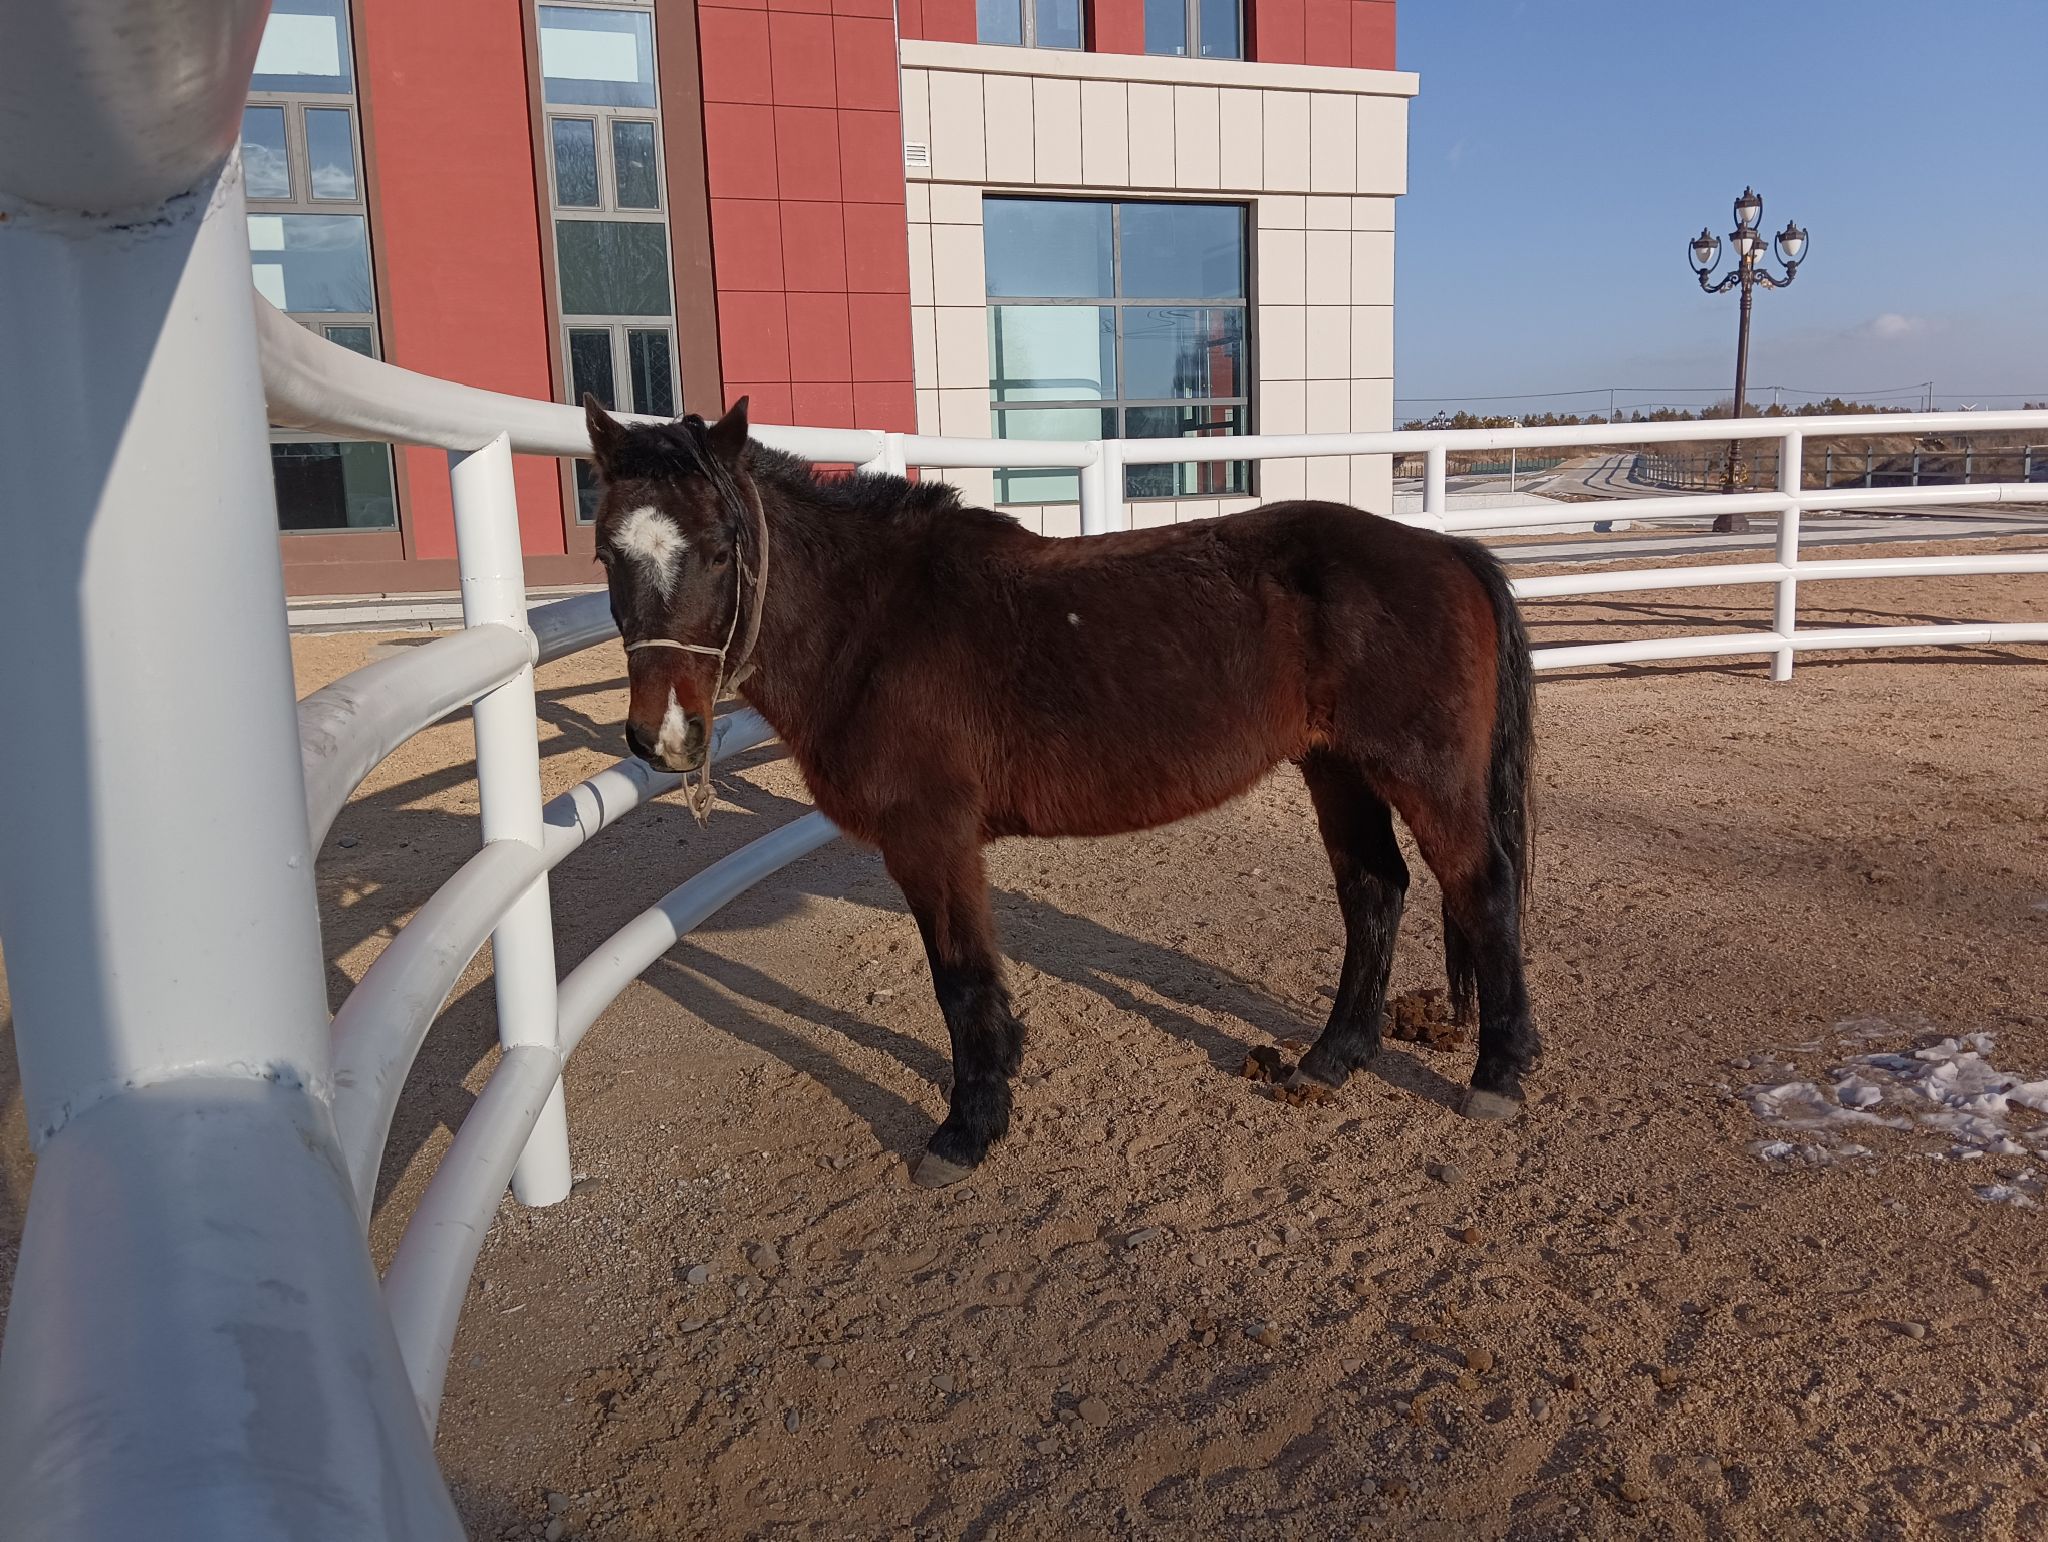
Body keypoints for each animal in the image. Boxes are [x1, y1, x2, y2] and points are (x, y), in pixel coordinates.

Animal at [581, 396, 1539, 1188]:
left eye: (719, 549)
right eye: (606, 551)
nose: (664, 737)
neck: (879, 622)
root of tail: (1448, 550)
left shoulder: (931, 838)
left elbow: (960, 981)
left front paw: (966, 1129)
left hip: (1422, 774)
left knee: (1481, 888)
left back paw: (1496, 1074)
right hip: (1336, 768)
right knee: (1374, 889)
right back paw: (1330, 1060)